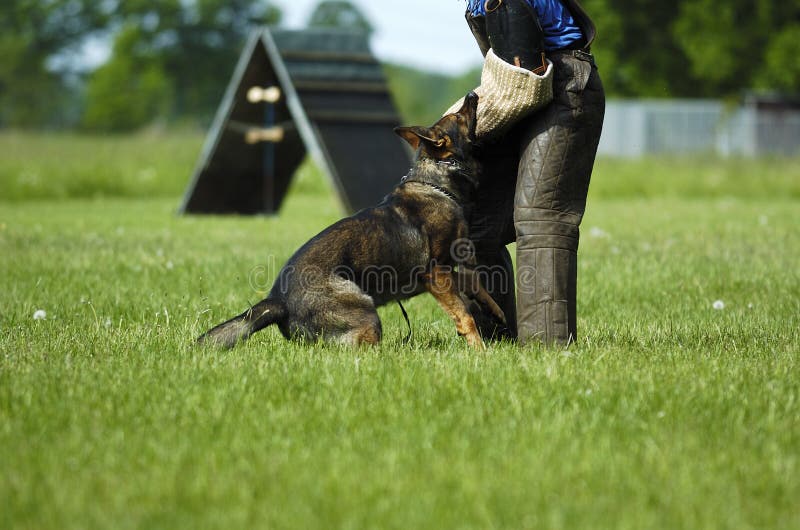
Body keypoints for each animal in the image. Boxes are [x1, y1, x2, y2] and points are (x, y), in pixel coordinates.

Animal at [197, 92, 504, 346]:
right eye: (459, 117)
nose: (473, 93)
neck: (437, 184)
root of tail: (279, 301)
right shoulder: (436, 273)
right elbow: (464, 316)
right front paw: (480, 353)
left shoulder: (449, 270)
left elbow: (477, 286)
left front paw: (496, 311)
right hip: (365, 311)